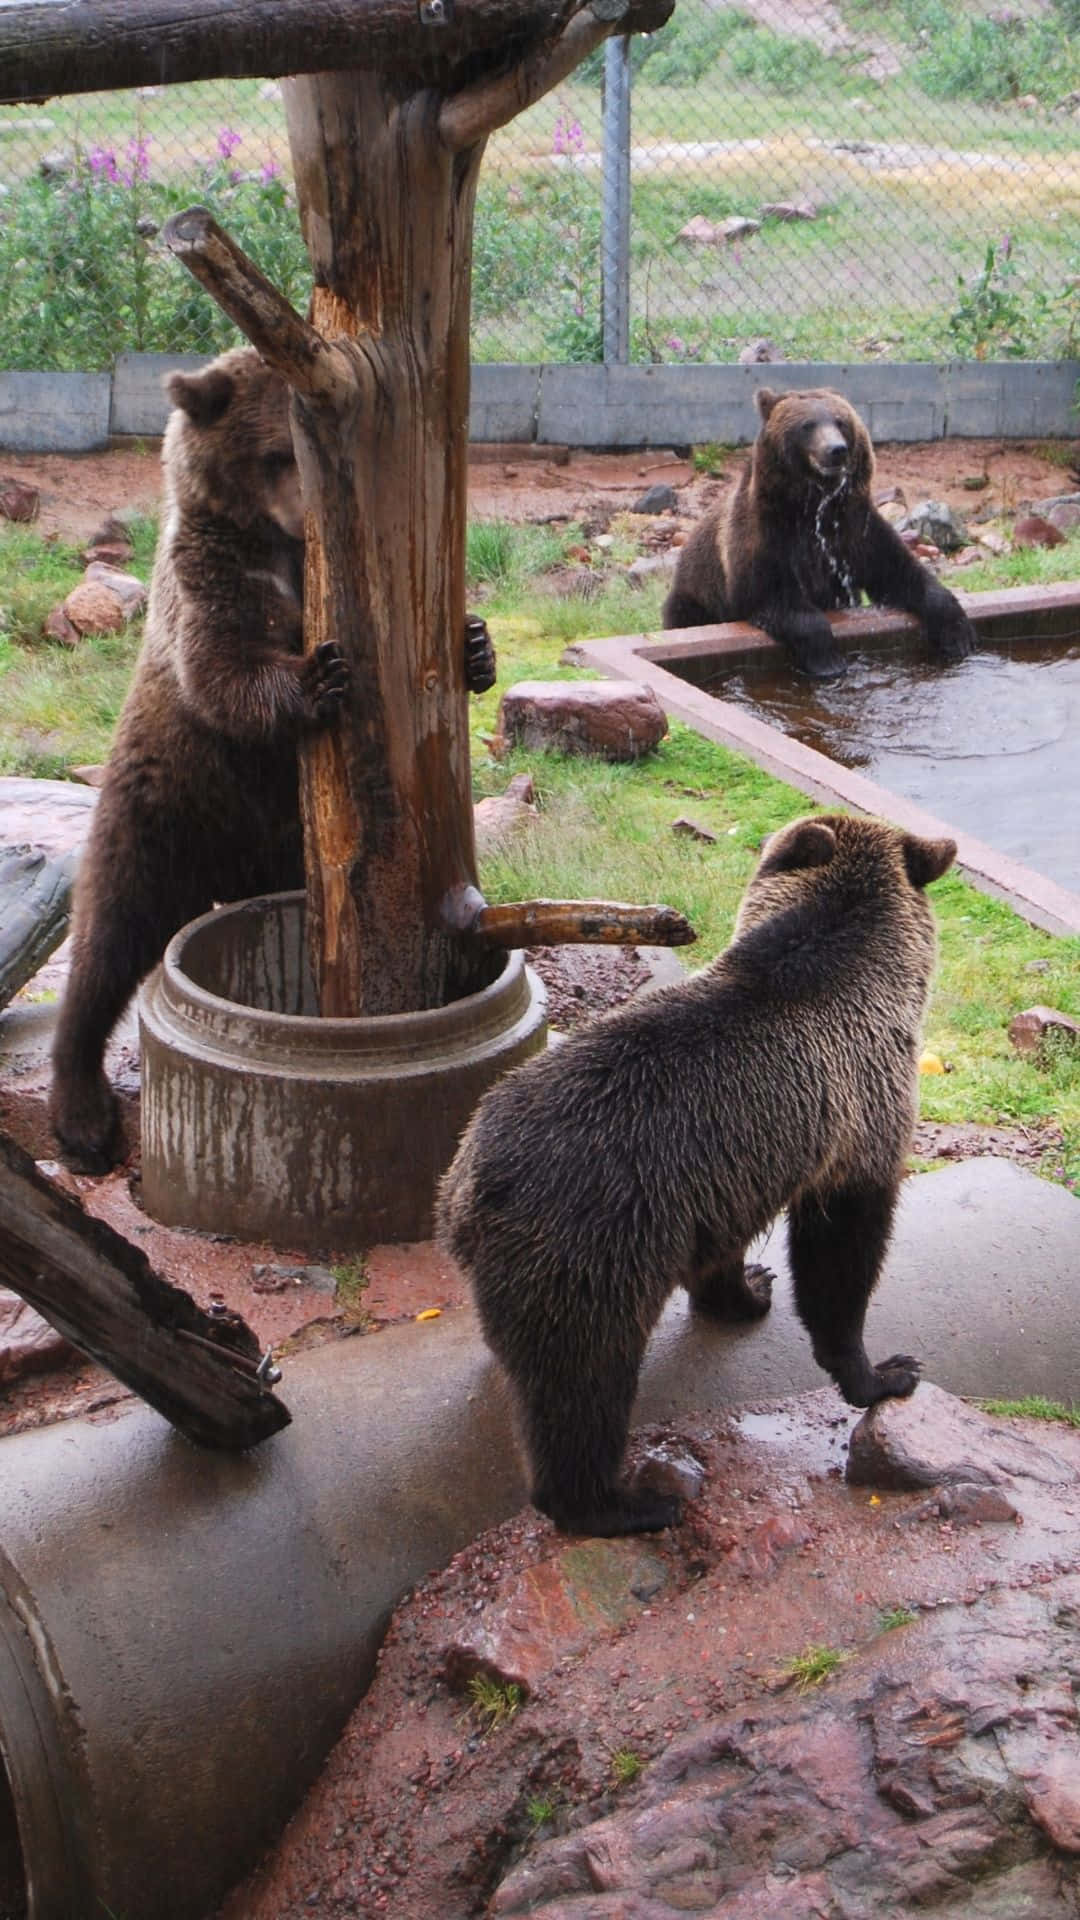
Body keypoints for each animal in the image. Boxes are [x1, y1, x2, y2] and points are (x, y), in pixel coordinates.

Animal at [49, 347, 496, 1172]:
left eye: (306, 449)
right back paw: (83, 1114)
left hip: (281, 845)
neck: (279, 548)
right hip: (162, 806)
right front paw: (321, 675)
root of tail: (219, 880)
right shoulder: (211, 573)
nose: (304, 517)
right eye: (276, 453)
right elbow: (225, 667)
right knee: (107, 939)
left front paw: (476, 645)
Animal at [436, 811, 955, 1538]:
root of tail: (471, 1186)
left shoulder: (724, 1172)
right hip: (591, 1244)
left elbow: (725, 1249)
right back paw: (625, 1500)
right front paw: (880, 1372)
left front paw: (747, 1288)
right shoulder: (859, 1123)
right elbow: (840, 1259)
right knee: (582, 1383)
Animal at [662, 386, 976, 680]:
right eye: (807, 425)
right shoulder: (764, 535)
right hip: (695, 597)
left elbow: (897, 570)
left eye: (840, 422)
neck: (813, 507)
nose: (837, 449)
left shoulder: (855, 529)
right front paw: (828, 659)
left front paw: (957, 633)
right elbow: (769, 593)